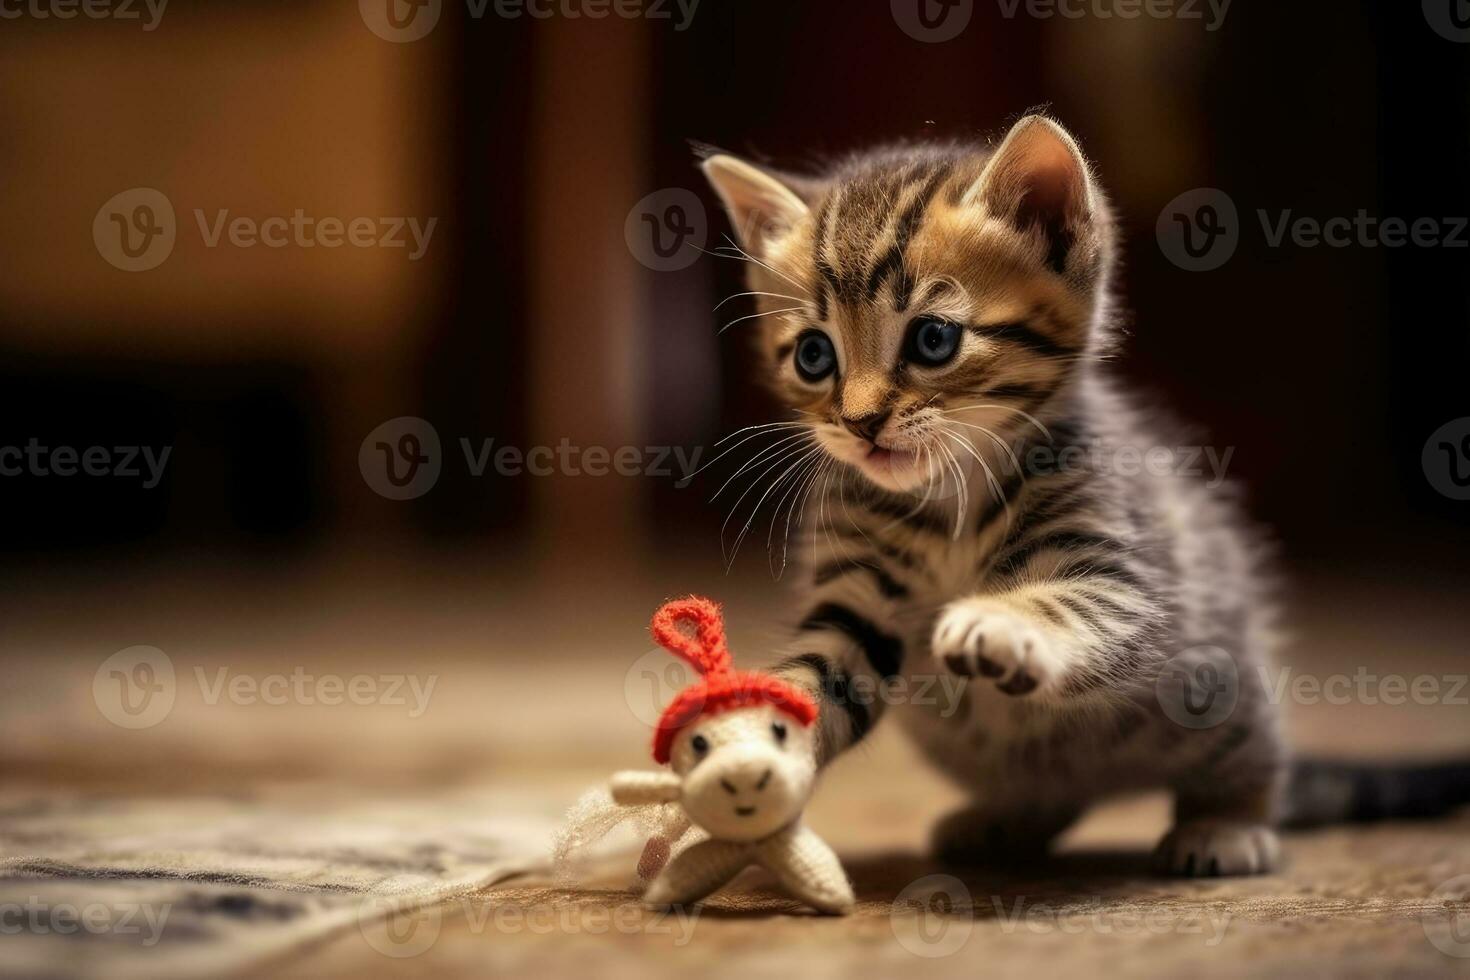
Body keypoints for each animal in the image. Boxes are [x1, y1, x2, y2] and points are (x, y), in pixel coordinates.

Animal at [699, 116, 1287, 881]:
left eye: (933, 338)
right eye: (813, 356)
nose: (860, 422)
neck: (951, 492)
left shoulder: (1123, 578)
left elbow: (1074, 602)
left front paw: (1000, 622)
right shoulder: (854, 603)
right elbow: (815, 675)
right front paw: (750, 737)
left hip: (1214, 684)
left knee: (1251, 754)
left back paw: (1227, 823)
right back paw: (1009, 818)